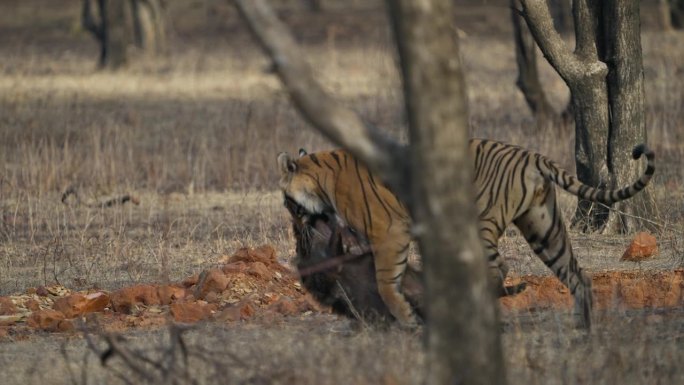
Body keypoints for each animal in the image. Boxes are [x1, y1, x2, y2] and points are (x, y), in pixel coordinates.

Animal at [276, 139, 656, 328]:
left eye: (287, 202)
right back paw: (582, 326)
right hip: (544, 229)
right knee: (577, 274)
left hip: (482, 221)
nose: (295, 221)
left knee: (500, 267)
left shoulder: (389, 233)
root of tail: (532, 156)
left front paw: (407, 319)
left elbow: (386, 284)